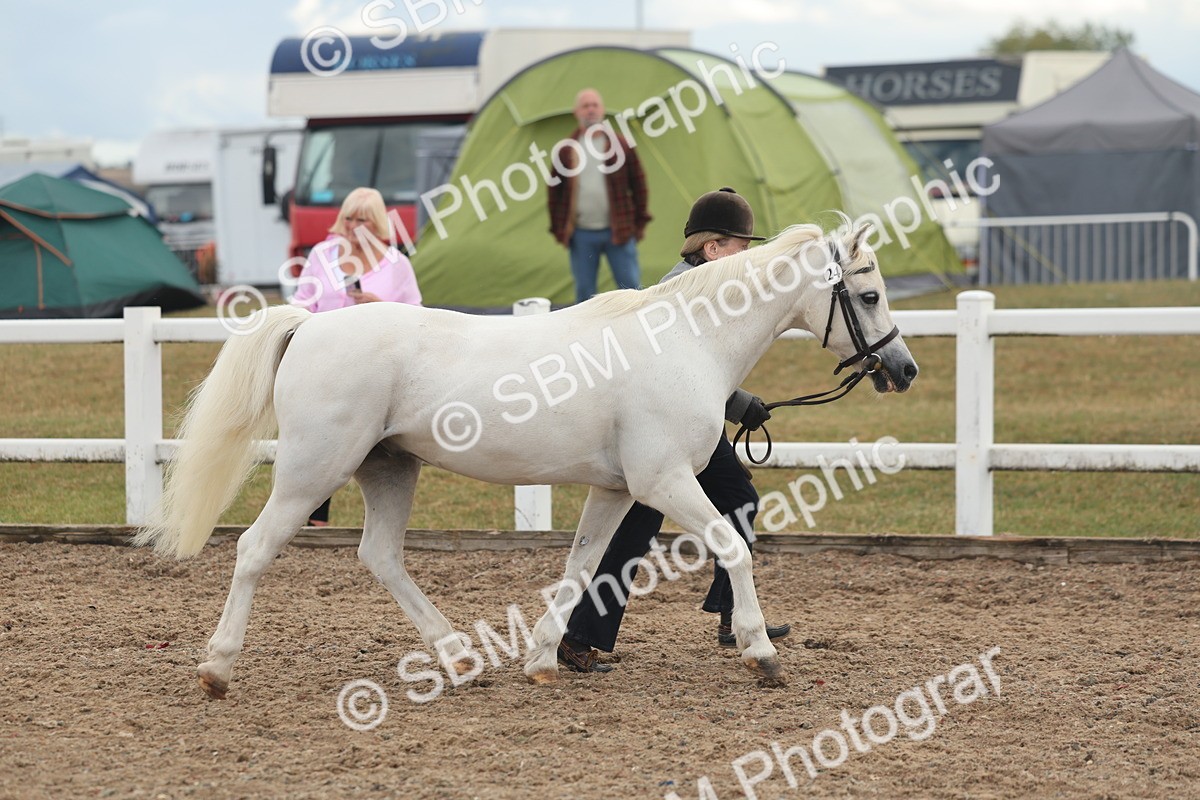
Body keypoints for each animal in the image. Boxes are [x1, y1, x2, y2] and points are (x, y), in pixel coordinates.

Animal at [134, 220, 918, 700]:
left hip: (388, 467)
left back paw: (457, 657)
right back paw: (216, 669)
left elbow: (581, 566)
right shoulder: (665, 481)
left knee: (379, 555)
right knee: (254, 550)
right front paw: (762, 654)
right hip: (311, 471)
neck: (688, 340)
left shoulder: (617, 490)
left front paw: (544, 661)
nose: (903, 370)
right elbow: (733, 546)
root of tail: (309, 327)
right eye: (869, 293)